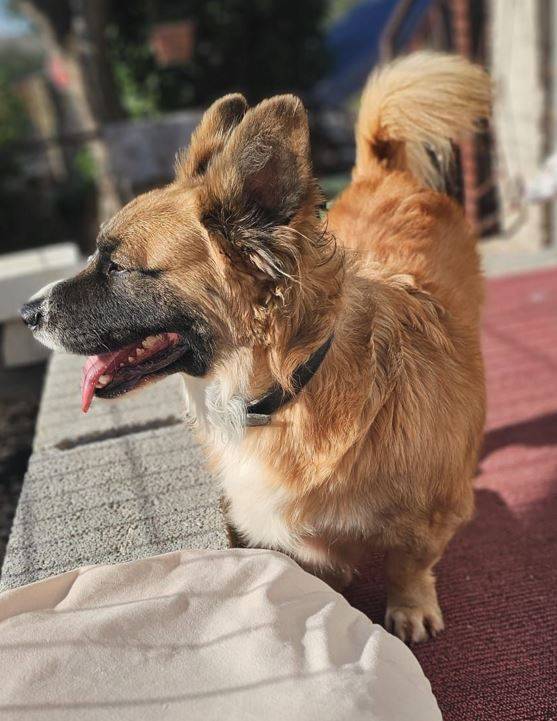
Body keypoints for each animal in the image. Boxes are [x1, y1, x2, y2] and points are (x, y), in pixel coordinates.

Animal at [22, 52, 490, 643]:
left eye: (118, 267)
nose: (25, 312)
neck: (290, 388)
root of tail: (383, 172)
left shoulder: (431, 515)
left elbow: (409, 562)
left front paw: (409, 608)